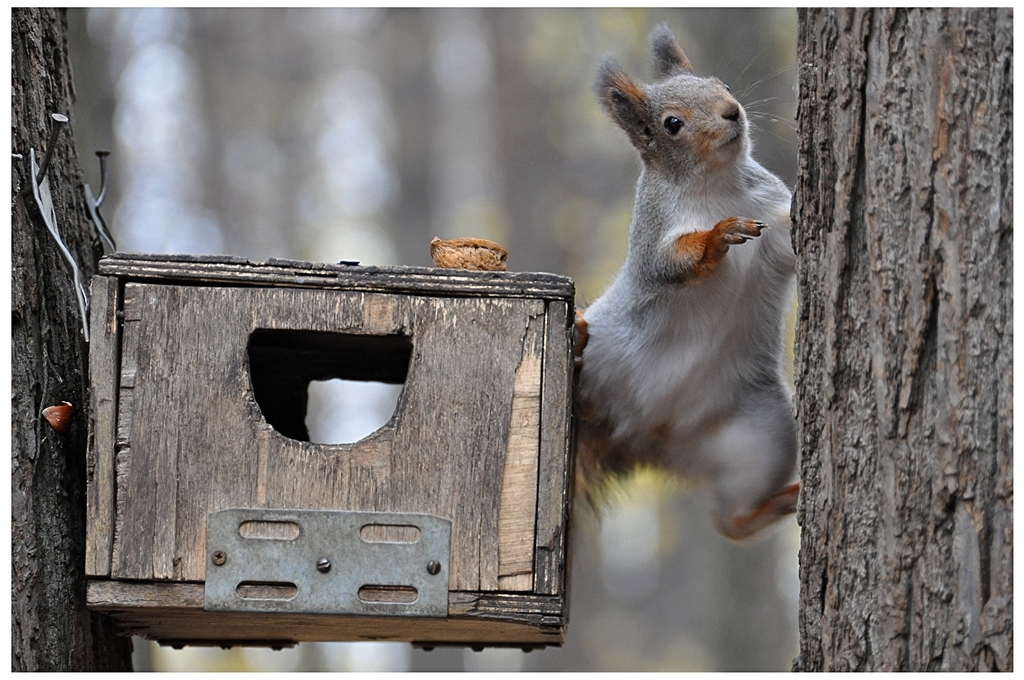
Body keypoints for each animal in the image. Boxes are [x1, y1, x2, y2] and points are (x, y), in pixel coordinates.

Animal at [577, 23, 798, 540]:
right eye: (672, 124)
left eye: (723, 84)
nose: (732, 111)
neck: (716, 185)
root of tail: (641, 437)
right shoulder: (652, 239)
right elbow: (670, 264)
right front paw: (720, 234)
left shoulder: (774, 224)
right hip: (604, 356)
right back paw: (575, 334)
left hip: (760, 433)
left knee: (730, 523)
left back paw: (777, 504)